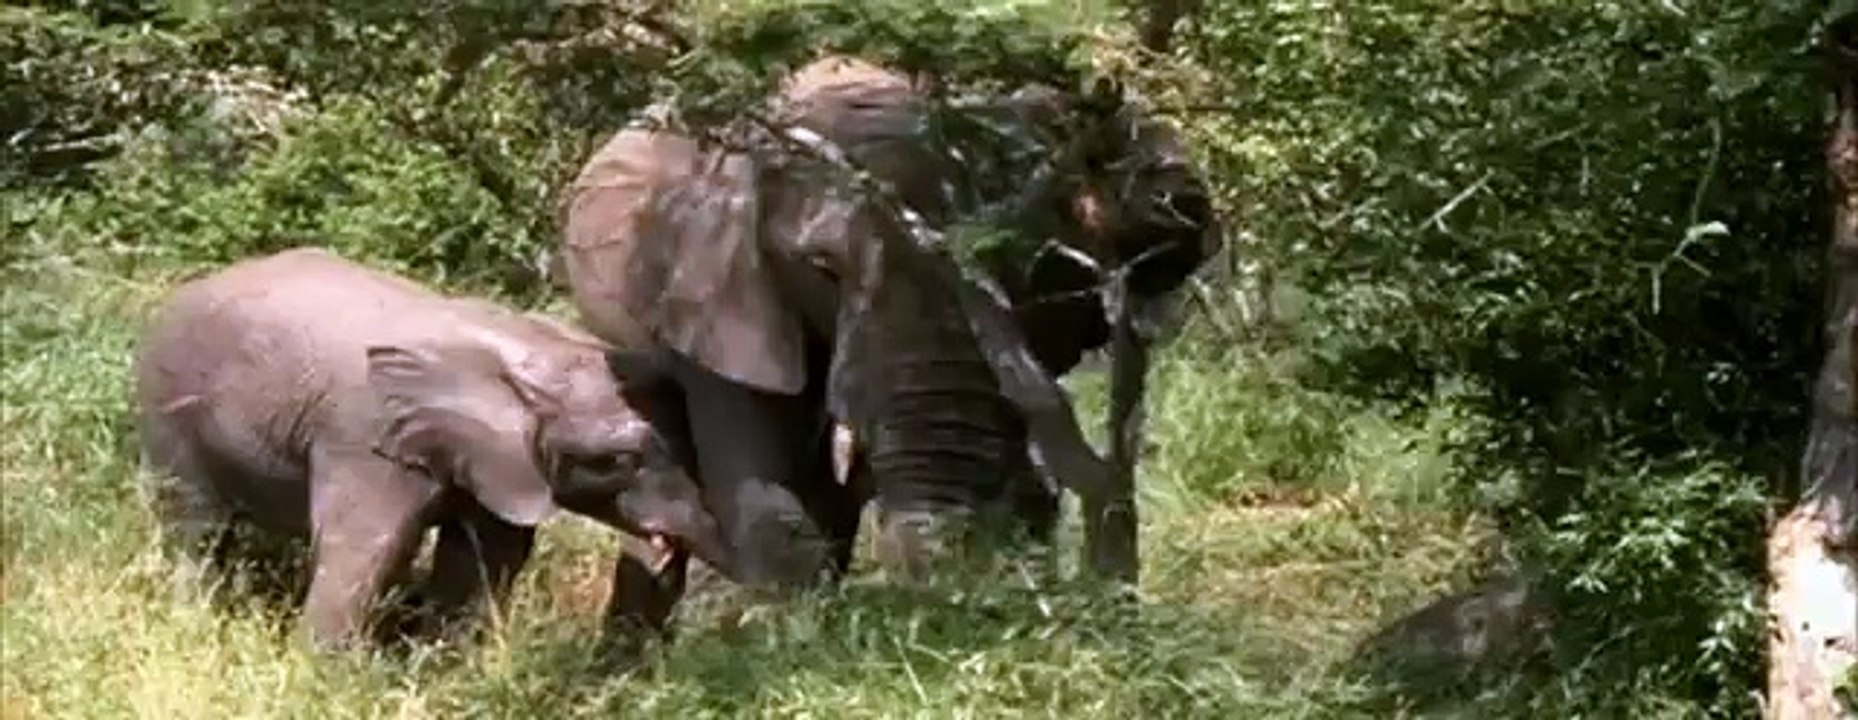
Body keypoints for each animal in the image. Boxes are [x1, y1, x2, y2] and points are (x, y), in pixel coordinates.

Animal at [133, 247, 724, 649]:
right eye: (621, 460)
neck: (527, 348)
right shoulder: (367, 438)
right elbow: (369, 546)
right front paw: (321, 677)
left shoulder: (501, 462)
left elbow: (484, 560)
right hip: (168, 401)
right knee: (195, 525)